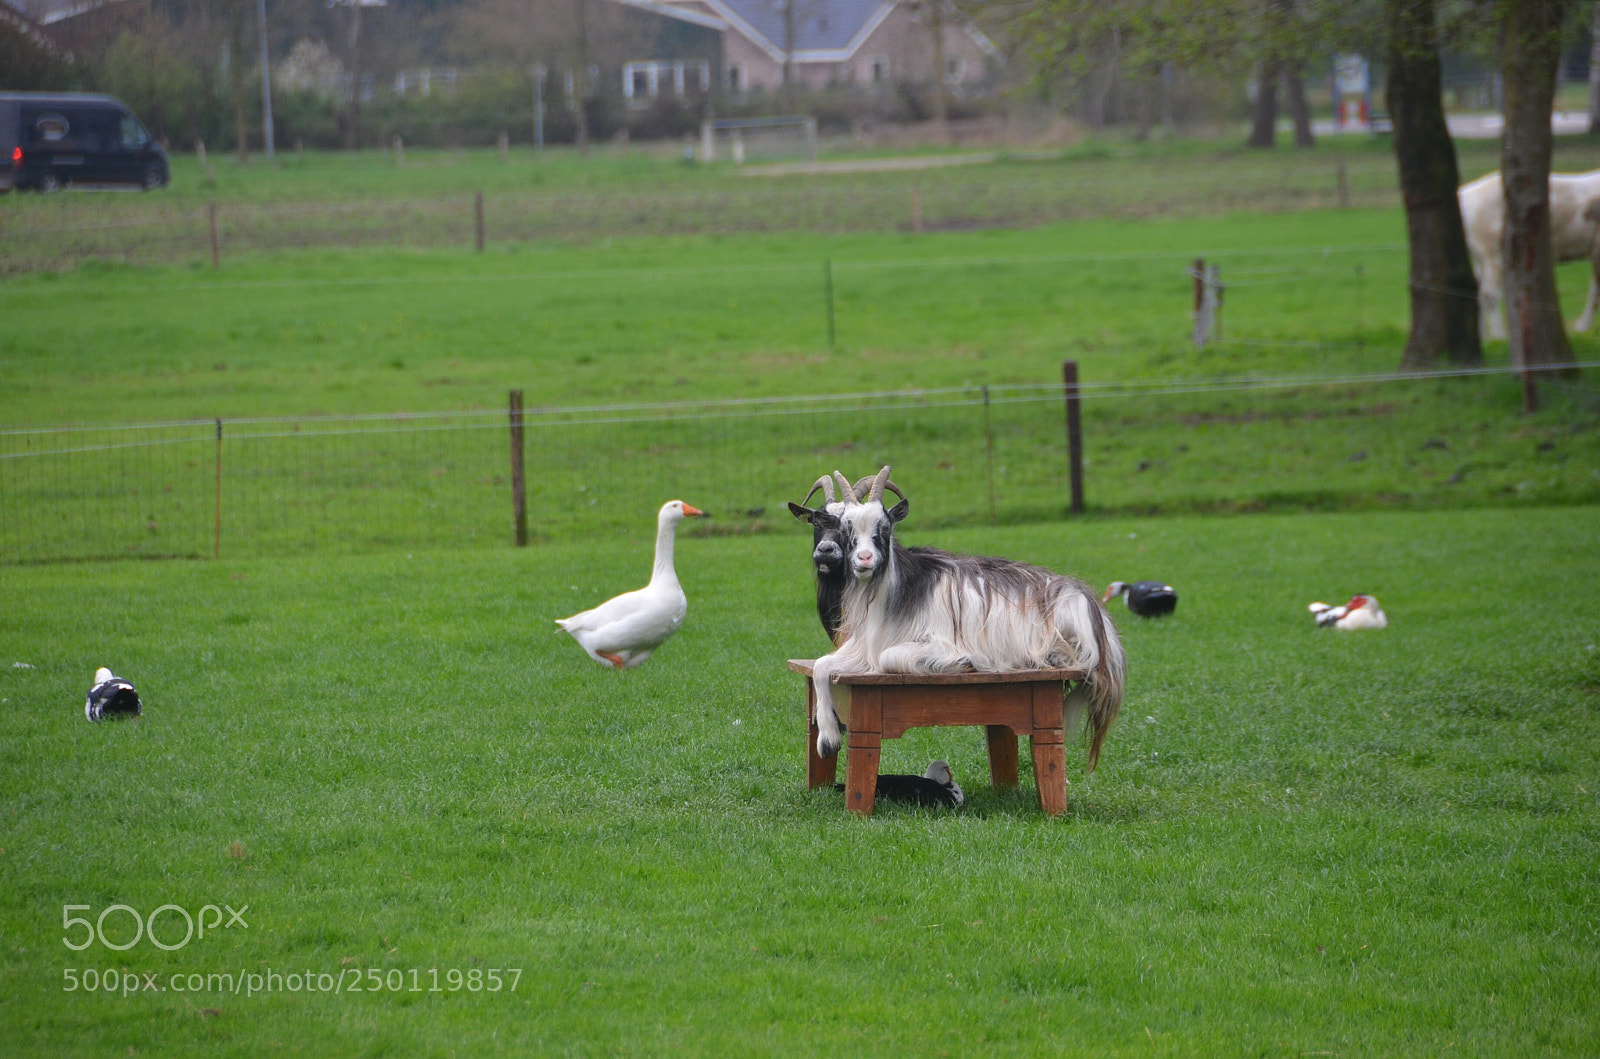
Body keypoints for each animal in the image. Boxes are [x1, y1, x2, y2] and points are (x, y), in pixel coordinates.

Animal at [808, 467, 1127, 773]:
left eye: (884, 527)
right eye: (846, 529)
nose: (864, 559)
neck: (896, 592)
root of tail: (1090, 603)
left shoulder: (935, 642)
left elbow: (890, 657)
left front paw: (962, 663)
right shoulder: (863, 648)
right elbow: (822, 668)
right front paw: (827, 740)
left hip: (1069, 619)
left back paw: (1054, 656)